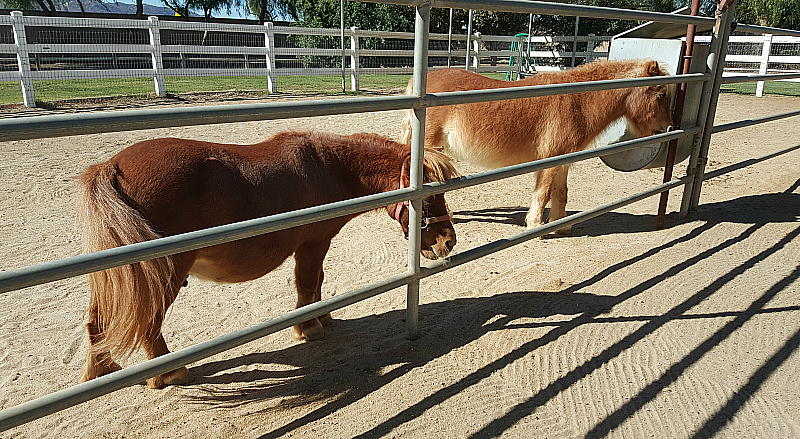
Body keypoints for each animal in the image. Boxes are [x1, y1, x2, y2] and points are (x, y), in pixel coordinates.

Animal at [78, 131, 460, 388]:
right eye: (429, 198)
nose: (449, 241)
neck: (328, 169)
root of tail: (111, 167)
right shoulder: (313, 243)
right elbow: (307, 284)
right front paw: (309, 327)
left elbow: (317, 284)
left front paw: (324, 317)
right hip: (164, 272)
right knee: (148, 321)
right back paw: (168, 372)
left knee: (97, 322)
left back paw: (103, 372)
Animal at [400, 61, 676, 237]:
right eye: (662, 94)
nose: (668, 128)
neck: (578, 100)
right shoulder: (549, 159)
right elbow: (542, 193)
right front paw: (536, 227)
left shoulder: (564, 160)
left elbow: (560, 192)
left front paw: (561, 225)